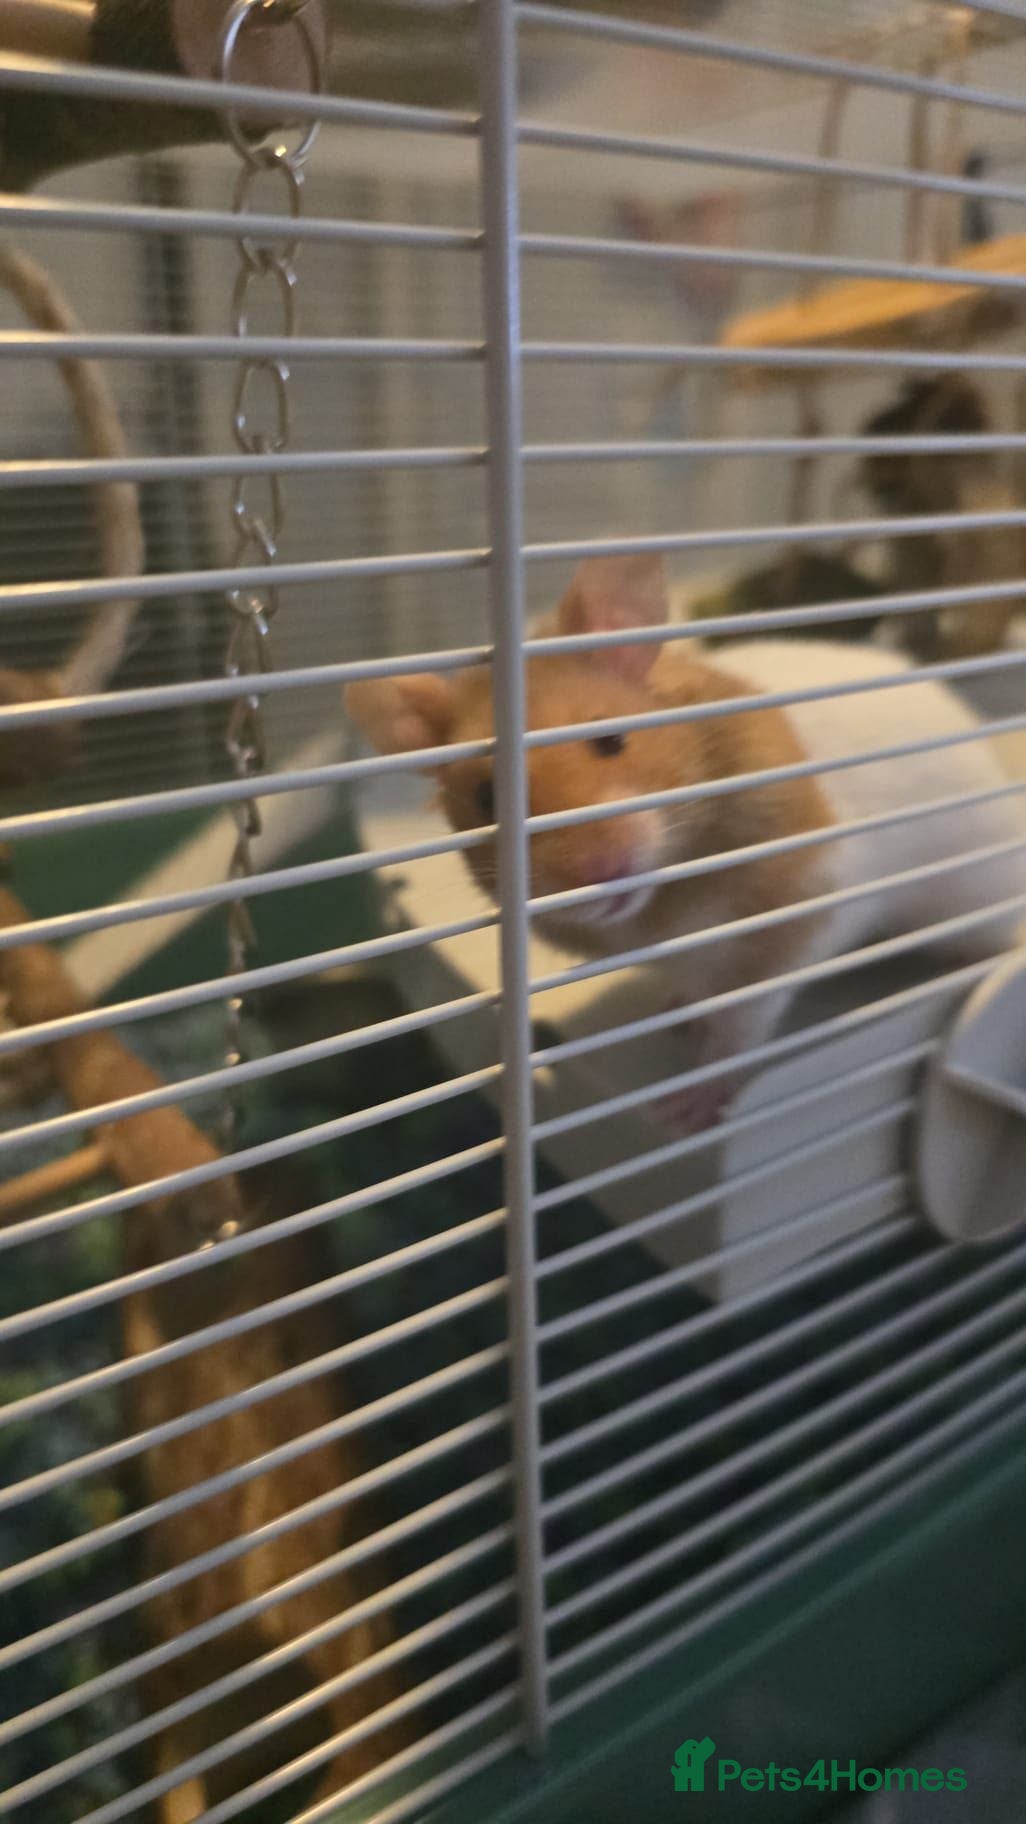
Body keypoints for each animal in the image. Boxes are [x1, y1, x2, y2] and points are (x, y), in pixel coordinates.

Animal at [346, 554, 1026, 1131]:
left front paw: (685, 1109)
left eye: (613, 740)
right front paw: (679, 1016)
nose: (599, 869)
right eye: (486, 798)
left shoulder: (796, 920)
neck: (669, 906)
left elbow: (738, 1029)